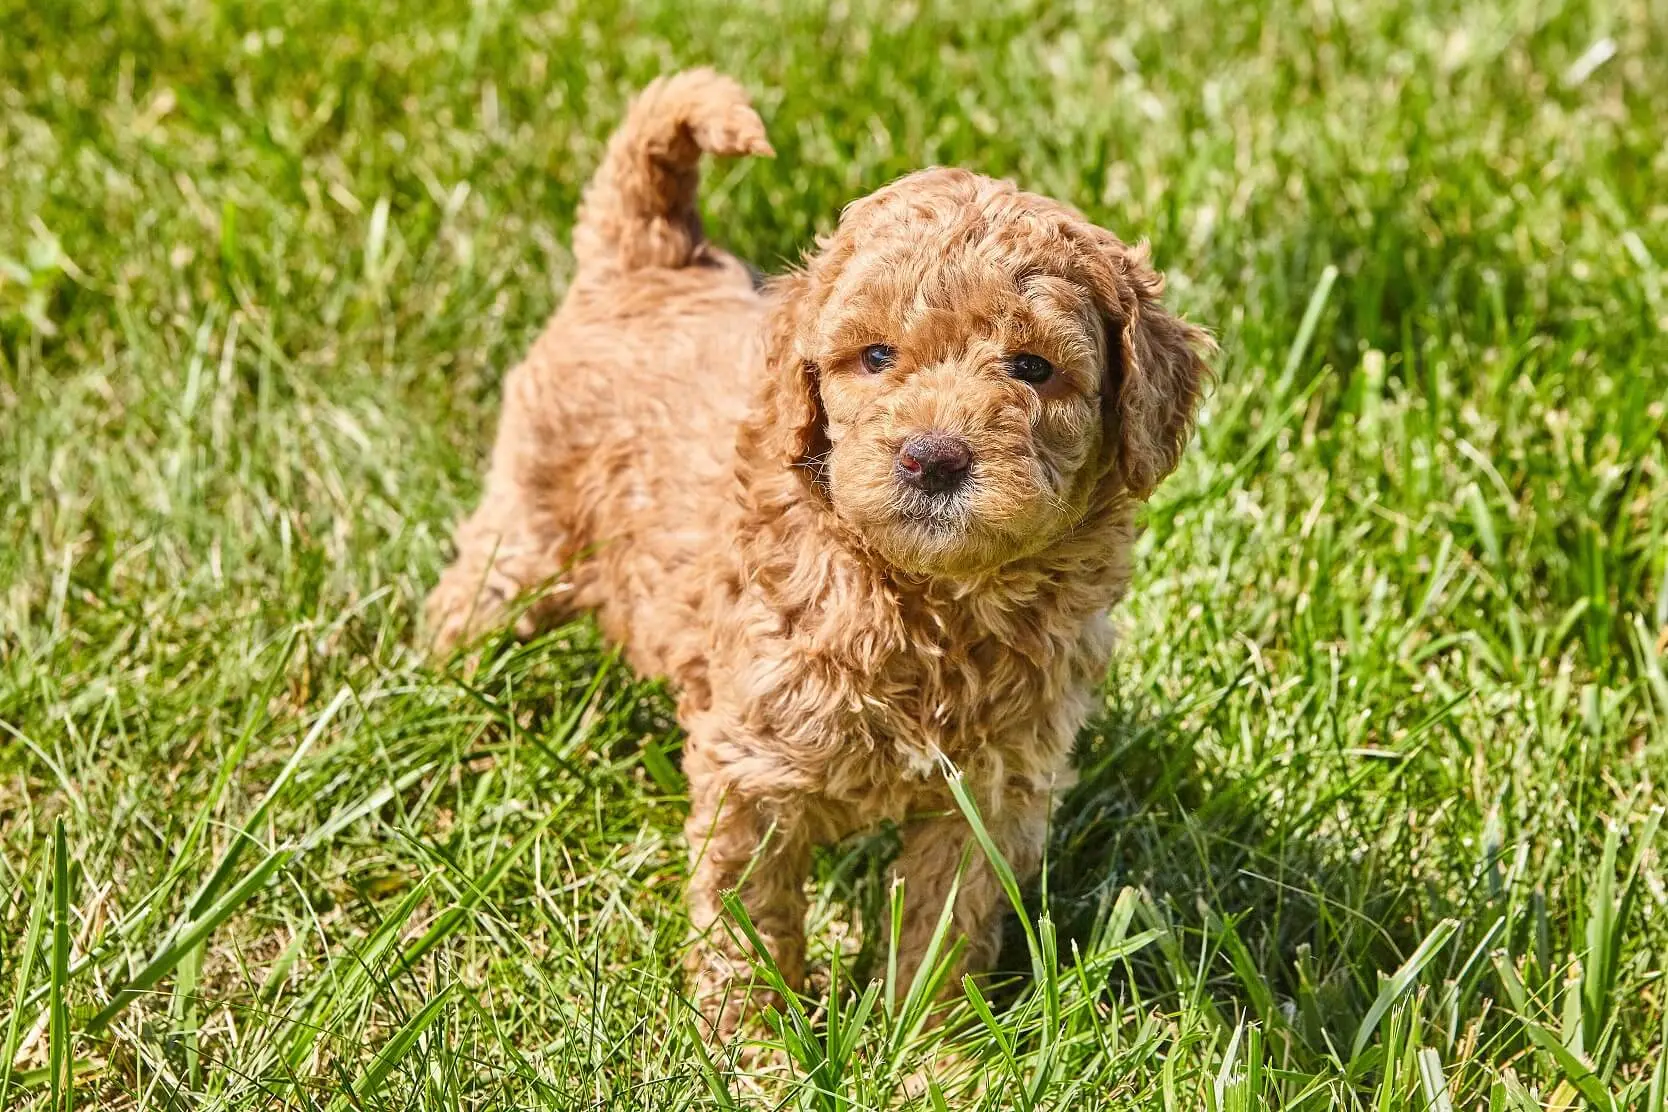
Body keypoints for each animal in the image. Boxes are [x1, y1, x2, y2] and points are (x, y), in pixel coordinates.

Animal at [427, 71, 1214, 1046]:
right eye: (875, 357)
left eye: (1032, 367)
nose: (932, 458)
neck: (930, 601)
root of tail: (655, 258)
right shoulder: (753, 768)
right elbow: (749, 918)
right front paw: (752, 1048)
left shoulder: (991, 790)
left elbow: (946, 927)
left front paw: (932, 1051)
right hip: (526, 528)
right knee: (473, 601)